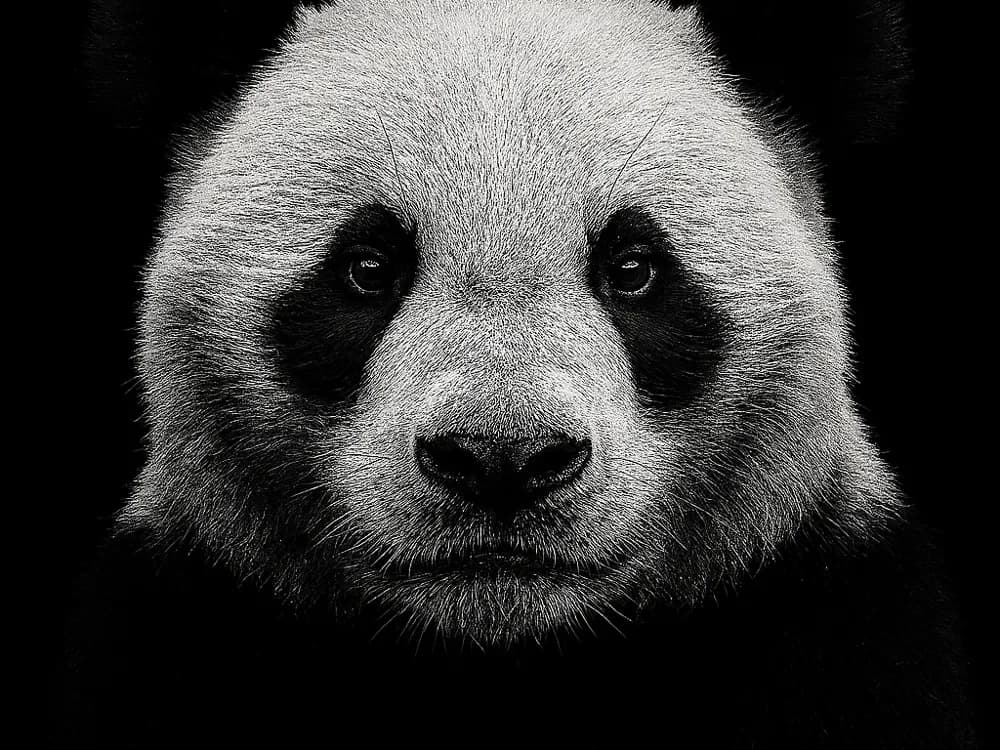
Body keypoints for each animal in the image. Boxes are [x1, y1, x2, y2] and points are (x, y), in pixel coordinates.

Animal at [60, 0, 977, 747]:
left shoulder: (837, 621)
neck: (510, 655)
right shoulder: (180, 620)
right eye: (366, 268)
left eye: (633, 268)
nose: (502, 458)